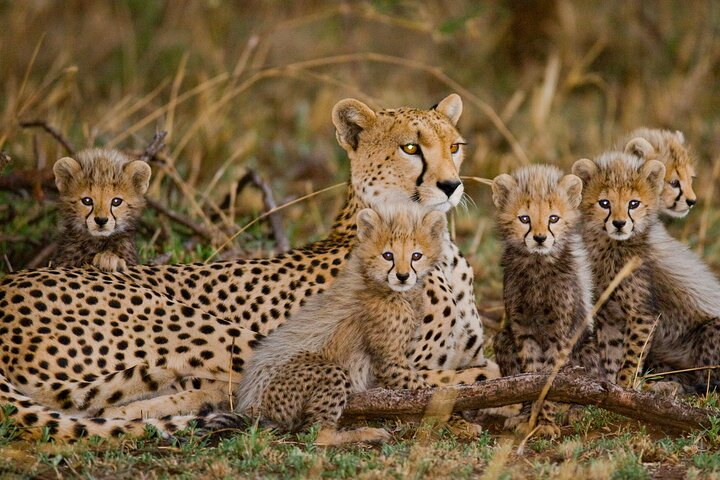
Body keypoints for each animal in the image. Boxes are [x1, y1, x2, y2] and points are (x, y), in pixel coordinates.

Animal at [0, 94, 497, 440]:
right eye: (410, 147)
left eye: (455, 146)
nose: (451, 185)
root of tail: (13, 284)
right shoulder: (391, 364)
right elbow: (475, 373)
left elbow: (479, 366)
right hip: (217, 331)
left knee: (107, 408)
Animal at [490, 165, 602, 437]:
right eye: (524, 219)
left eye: (553, 218)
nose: (540, 238)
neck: (538, 265)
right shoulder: (522, 329)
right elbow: (531, 374)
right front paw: (530, 417)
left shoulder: (559, 334)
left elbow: (551, 377)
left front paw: (545, 422)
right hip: (503, 339)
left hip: (587, 348)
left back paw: (576, 411)